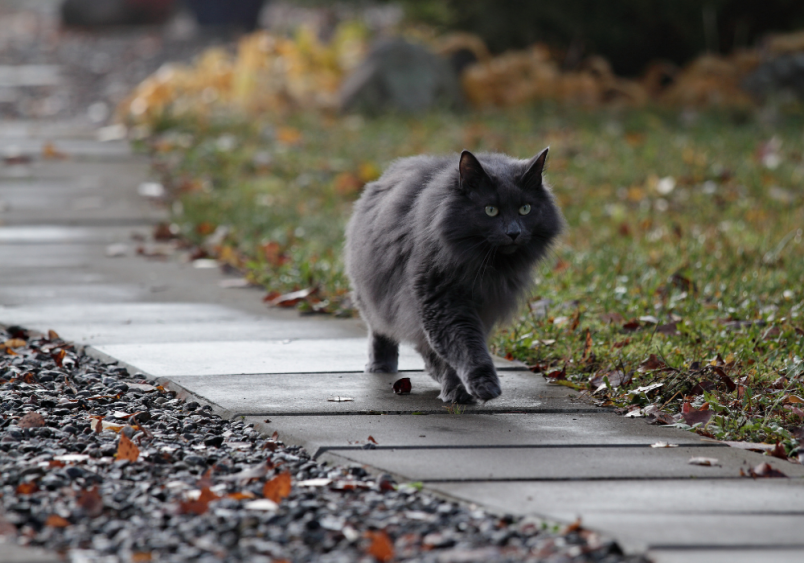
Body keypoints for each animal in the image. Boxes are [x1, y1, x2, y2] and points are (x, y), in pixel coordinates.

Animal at [346, 150, 564, 404]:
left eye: (525, 209)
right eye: (491, 210)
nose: (513, 232)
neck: (484, 267)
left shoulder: (482, 307)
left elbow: (457, 352)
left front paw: (458, 390)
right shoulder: (442, 302)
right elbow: (465, 347)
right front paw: (479, 387)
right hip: (374, 294)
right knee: (380, 329)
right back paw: (381, 365)